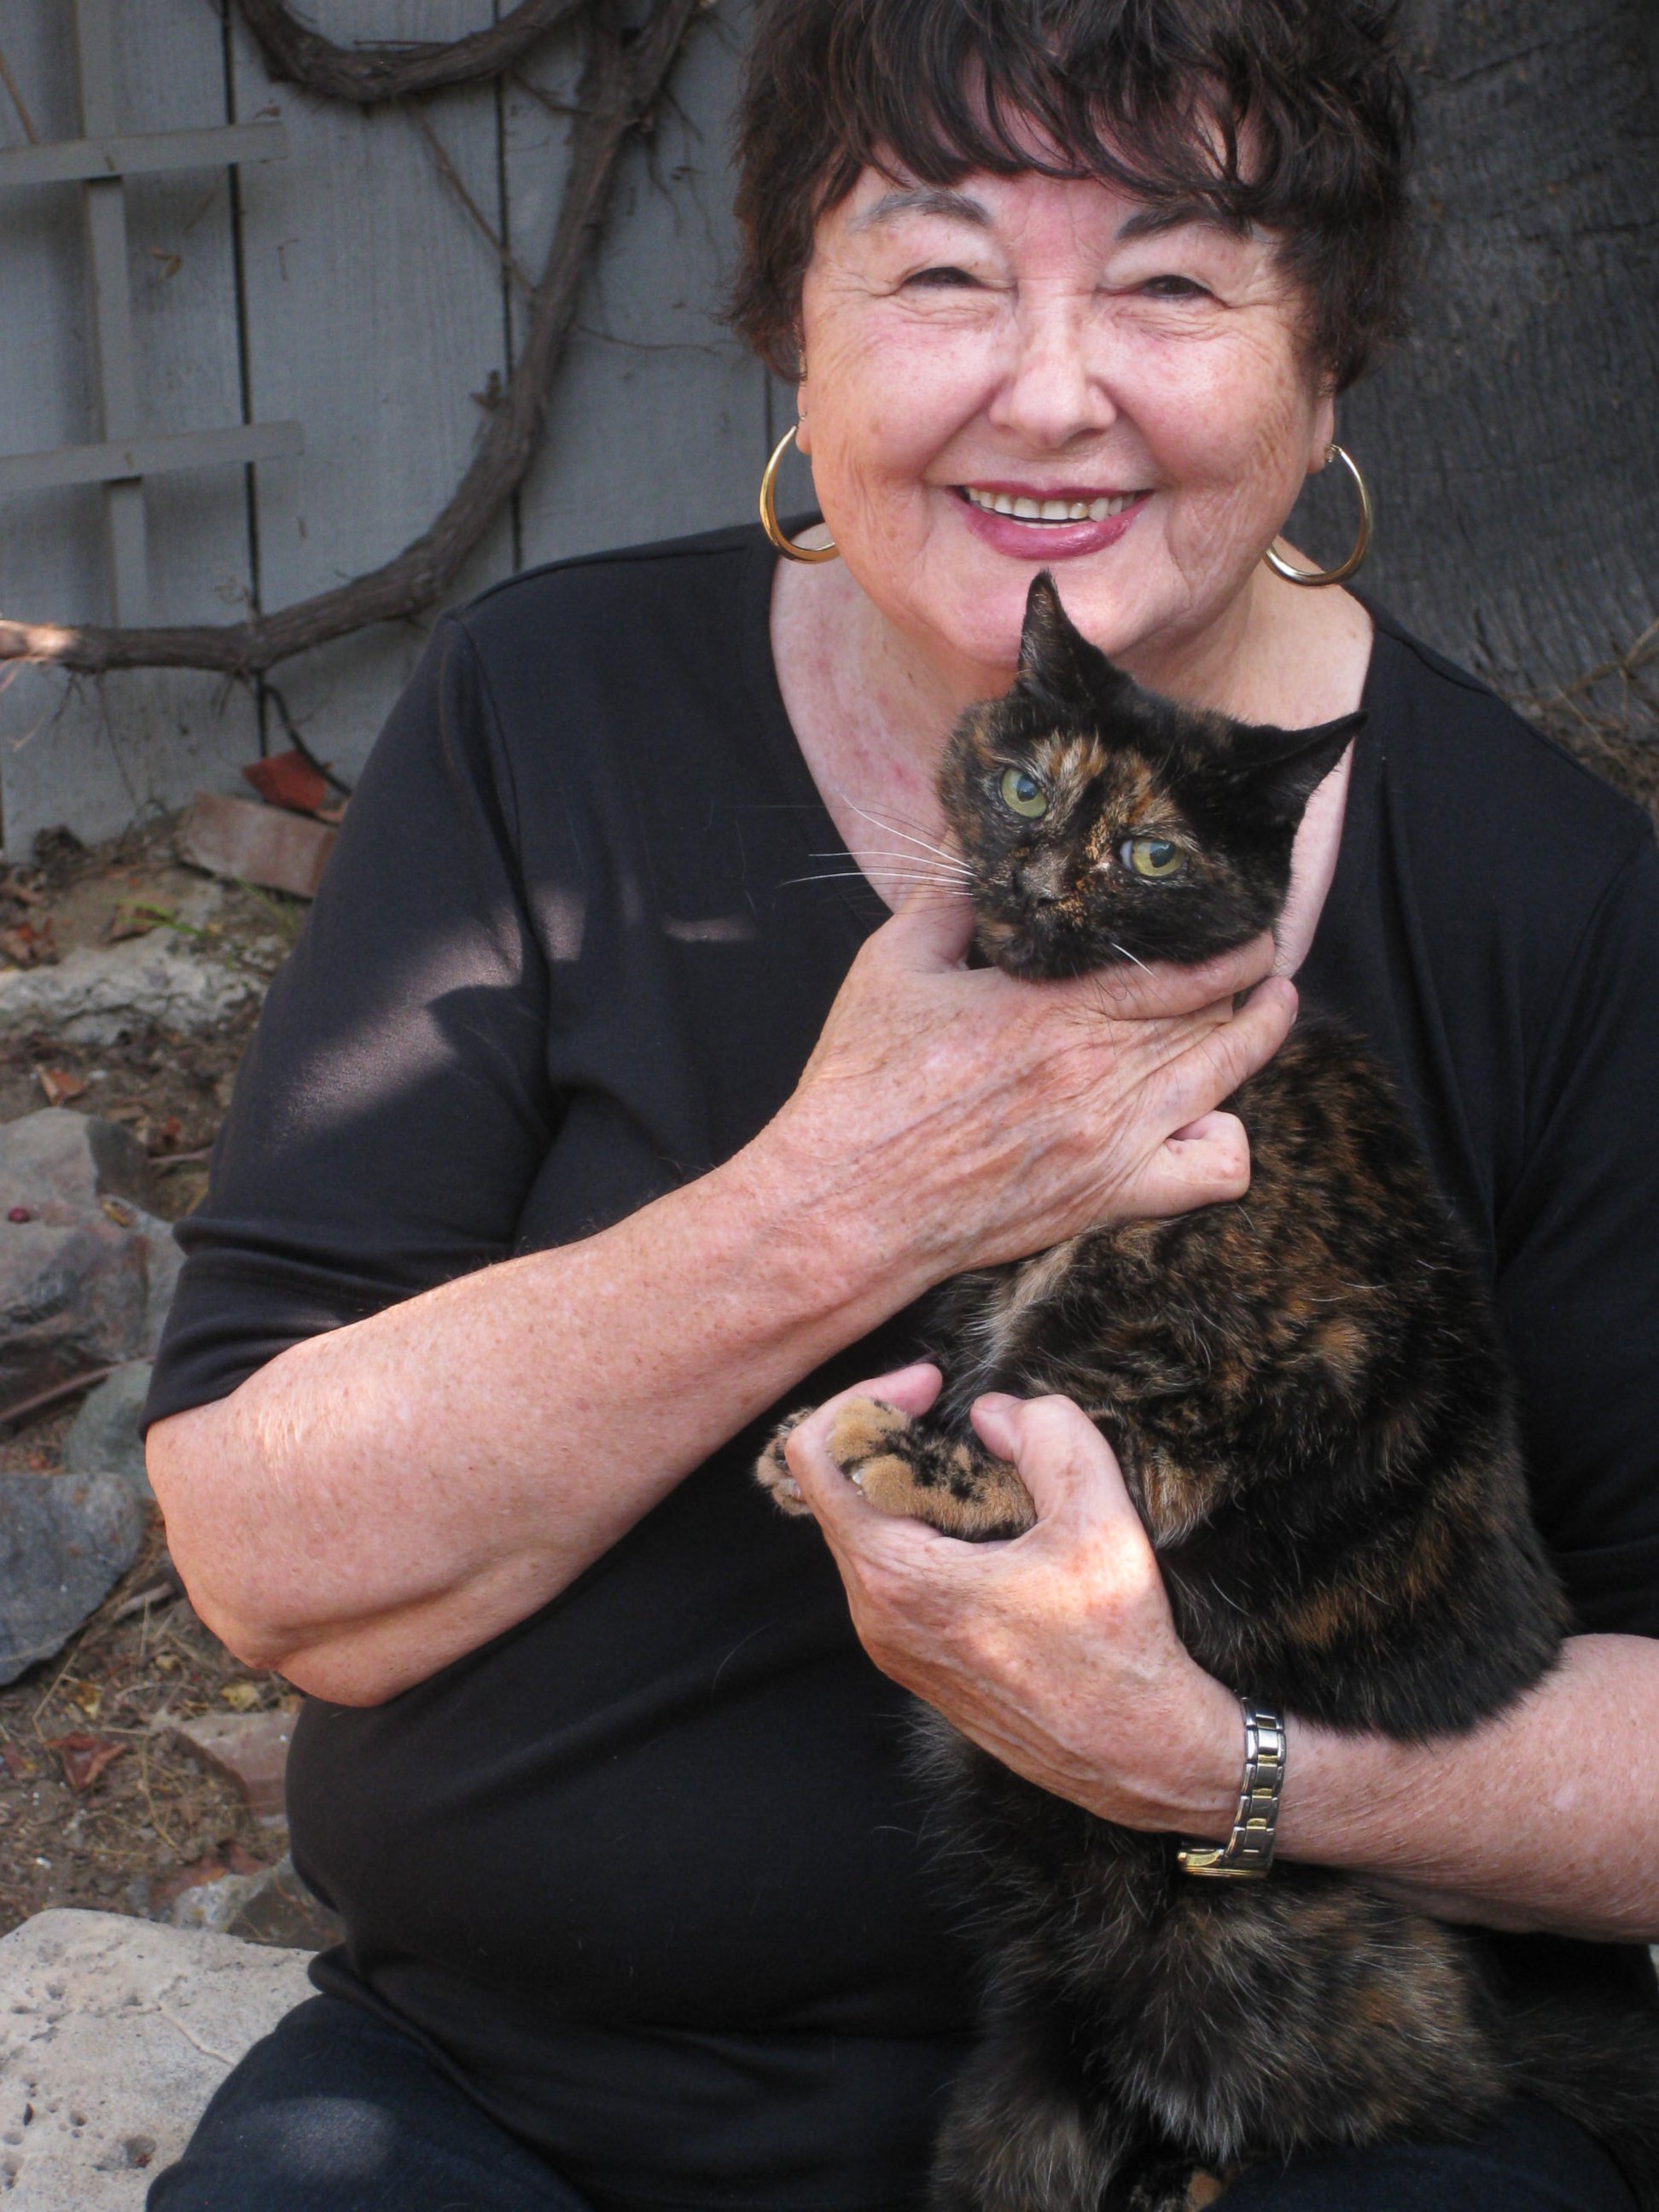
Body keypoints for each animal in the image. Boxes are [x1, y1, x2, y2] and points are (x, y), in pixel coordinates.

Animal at [756, 574, 1659, 2212]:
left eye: (1152, 855)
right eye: (1024, 783)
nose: (1041, 874)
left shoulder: (1241, 1356)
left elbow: (1048, 1411)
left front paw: (893, 1455)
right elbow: (978, 1364)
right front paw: (828, 1431)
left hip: (1260, 1967)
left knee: (1369, 2097)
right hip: (1019, 2107)